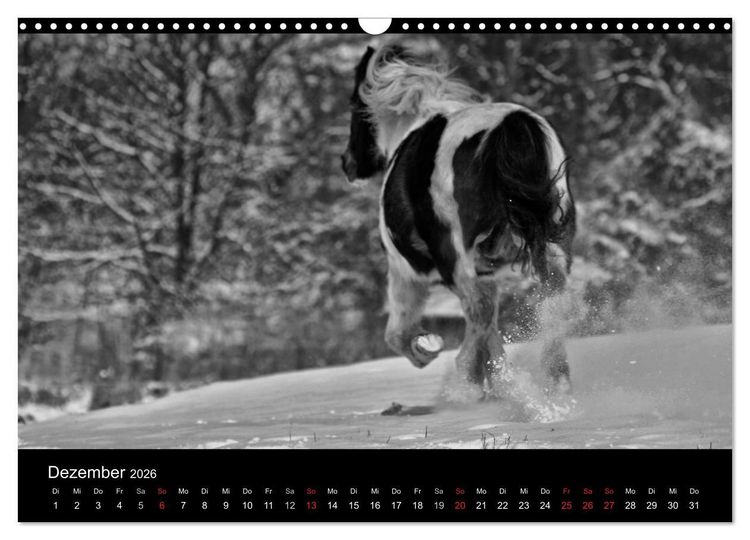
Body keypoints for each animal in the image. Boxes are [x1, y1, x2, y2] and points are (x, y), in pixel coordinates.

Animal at [341, 44, 576, 394]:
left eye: (353, 105)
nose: (347, 163)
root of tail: (512, 126)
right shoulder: (487, 273)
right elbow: (491, 330)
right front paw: (497, 382)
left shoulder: (404, 272)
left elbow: (398, 334)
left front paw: (428, 348)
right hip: (551, 248)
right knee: (551, 302)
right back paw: (555, 382)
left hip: (454, 258)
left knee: (477, 311)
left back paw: (464, 385)